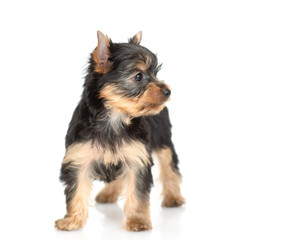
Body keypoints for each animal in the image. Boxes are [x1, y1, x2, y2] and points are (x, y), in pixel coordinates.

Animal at [54, 31, 185, 232]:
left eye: (155, 73)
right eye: (138, 76)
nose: (167, 91)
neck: (114, 117)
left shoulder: (137, 157)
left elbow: (137, 191)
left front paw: (138, 221)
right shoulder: (78, 157)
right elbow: (76, 190)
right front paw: (72, 221)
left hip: (163, 137)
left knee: (169, 164)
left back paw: (173, 197)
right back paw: (108, 194)